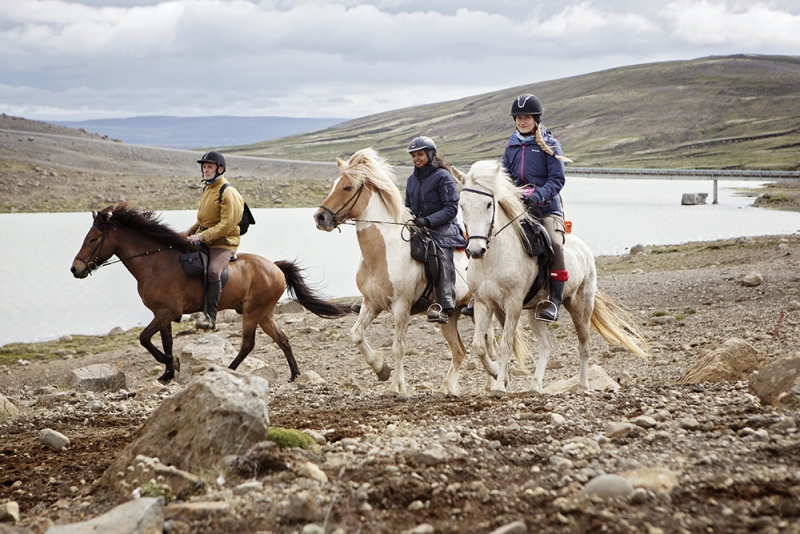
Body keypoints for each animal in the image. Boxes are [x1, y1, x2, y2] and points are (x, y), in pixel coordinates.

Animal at [71, 204, 350, 386]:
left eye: (93, 238)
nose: (75, 269)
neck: (155, 261)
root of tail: (275, 267)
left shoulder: (167, 312)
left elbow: (144, 339)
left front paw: (172, 364)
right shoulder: (162, 314)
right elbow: (163, 342)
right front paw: (168, 373)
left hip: (253, 312)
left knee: (248, 344)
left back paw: (228, 371)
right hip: (265, 314)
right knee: (283, 339)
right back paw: (294, 374)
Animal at [314, 149, 500, 396]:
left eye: (347, 187)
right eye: (334, 185)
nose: (320, 218)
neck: (382, 252)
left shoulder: (401, 307)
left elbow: (398, 347)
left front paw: (396, 387)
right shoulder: (371, 304)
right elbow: (356, 335)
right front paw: (381, 369)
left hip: (480, 309)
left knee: (490, 346)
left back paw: (492, 385)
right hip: (450, 316)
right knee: (459, 350)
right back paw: (447, 387)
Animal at [454, 161, 648, 396]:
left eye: (489, 204)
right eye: (462, 205)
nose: (475, 250)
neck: (492, 258)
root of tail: (584, 248)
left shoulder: (513, 304)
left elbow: (505, 344)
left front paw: (499, 385)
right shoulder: (484, 304)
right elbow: (479, 346)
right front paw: (499, 375)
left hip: (580, 306)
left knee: (584, 345)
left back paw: (583, 386)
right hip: (535, 313)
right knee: (546, 348)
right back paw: (535, 385)